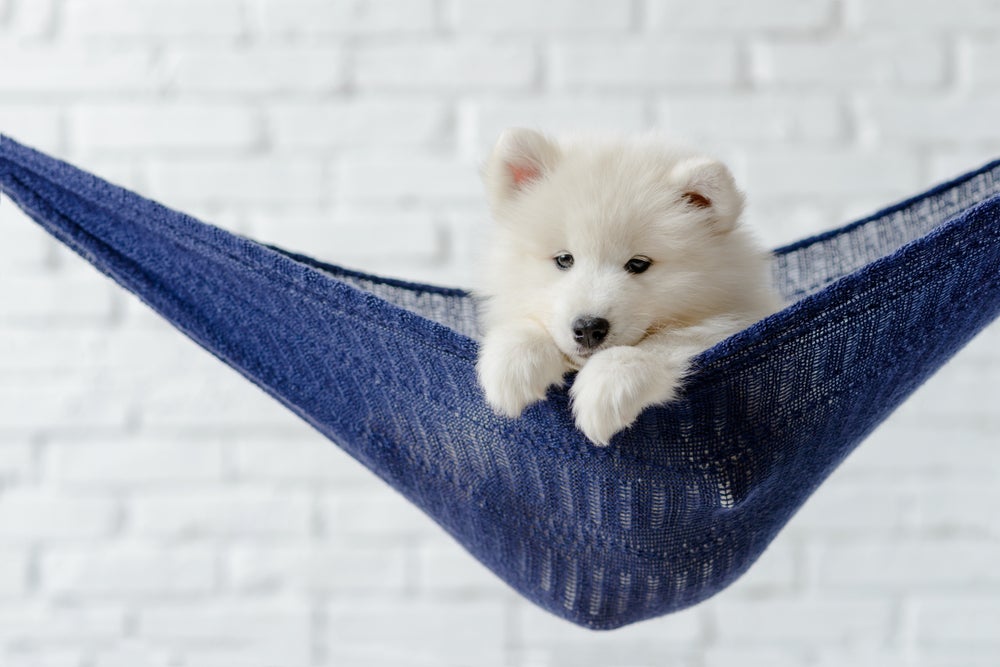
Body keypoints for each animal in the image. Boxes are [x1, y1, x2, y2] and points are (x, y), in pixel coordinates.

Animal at [476, 128, 780, 446]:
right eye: (564, 259)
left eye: (638, 264)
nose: (588, 328)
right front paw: (514, 362)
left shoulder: (732, 322)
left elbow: (665, 342)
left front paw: (607, 386)